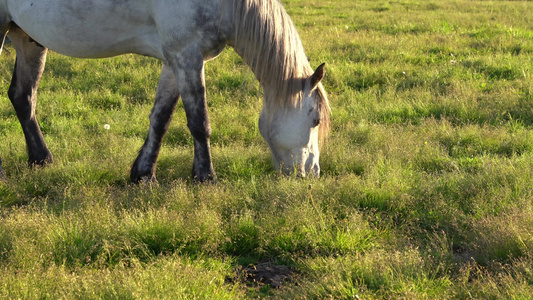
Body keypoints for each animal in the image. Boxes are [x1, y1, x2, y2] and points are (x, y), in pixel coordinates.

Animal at [0, 0, 330, 183]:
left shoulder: (174, 62)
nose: (313, 172)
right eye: (314, 120)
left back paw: (41, 159)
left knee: (23, 97)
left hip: (27, 38)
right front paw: (206, 177)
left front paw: (143, 174)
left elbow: (161, 118)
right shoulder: (187, 56)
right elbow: (199, 122)